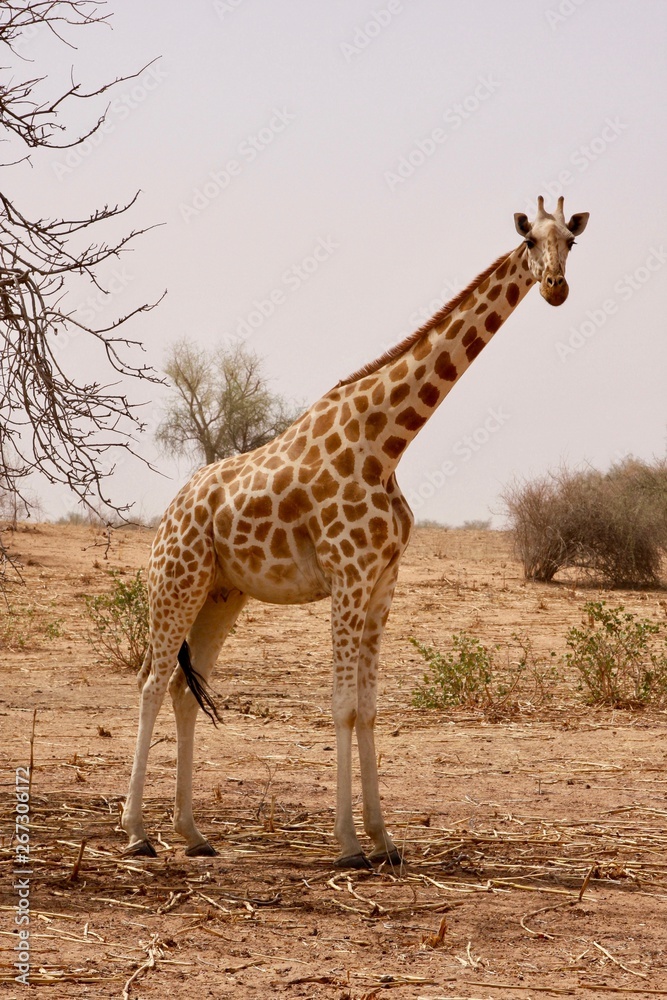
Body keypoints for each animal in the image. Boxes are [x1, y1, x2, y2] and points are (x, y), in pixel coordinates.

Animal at [122, 195, 589, 868]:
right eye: (530, 242)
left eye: (571, 243)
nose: (556, 287)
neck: (386, 443)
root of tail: (173, 508)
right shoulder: (347, 576)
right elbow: (341, 706)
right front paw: (347, 844)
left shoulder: (382, 582)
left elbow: (368, 708)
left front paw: (384, 840)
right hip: (175, 579)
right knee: (153, 682)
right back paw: (137, 832)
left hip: (222, 594)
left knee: (188, 691)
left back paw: (193, 833)